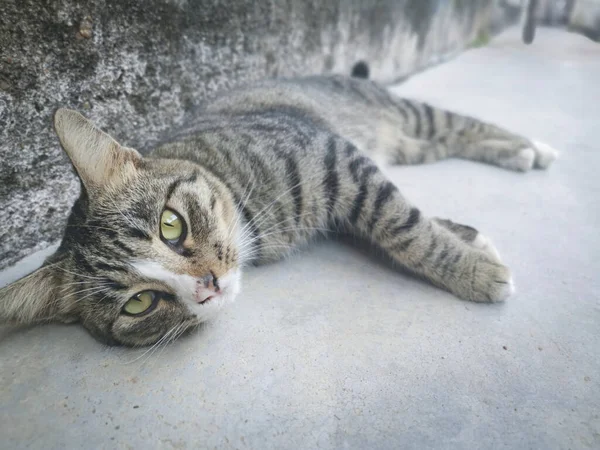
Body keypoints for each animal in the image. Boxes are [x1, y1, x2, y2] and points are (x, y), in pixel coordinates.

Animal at [0, 75, 556, 346]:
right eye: (139, 304)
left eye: (171, 224)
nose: (208, 285)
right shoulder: (350, 182)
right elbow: (398, 222)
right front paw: (472, 245)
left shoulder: (337, 158)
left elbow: (402, 225)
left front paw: (473, 269)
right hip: (406, 144)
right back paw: (517, 154)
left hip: (403, 114)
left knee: (464, 124)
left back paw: (532, 146)